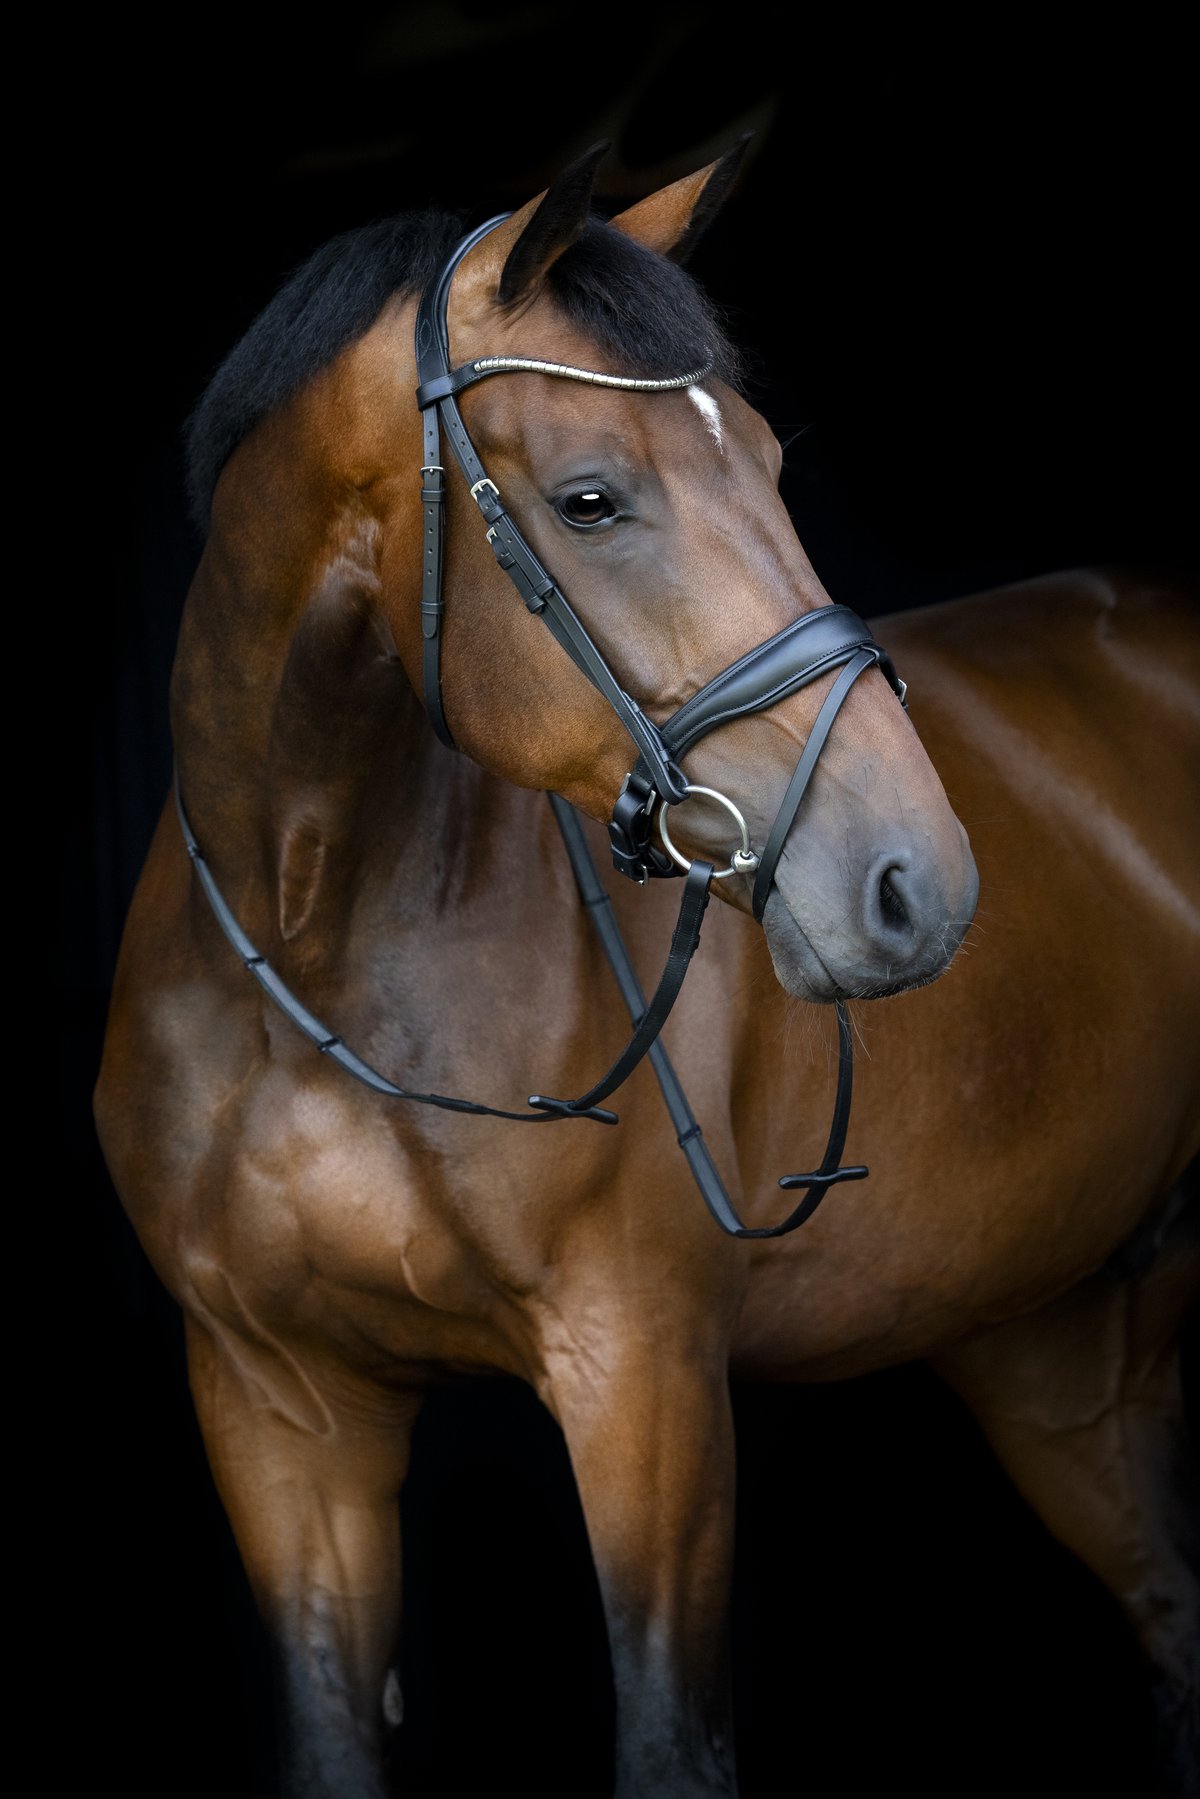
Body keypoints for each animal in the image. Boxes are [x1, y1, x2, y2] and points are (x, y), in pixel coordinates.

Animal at [94, 141, 1200, 1799]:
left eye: (772, 464)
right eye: (592, 499)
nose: (917, 883)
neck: (319, 949)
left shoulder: (649, 1390)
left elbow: (673, 1745)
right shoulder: (280, 1409)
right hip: (1059, 1340)